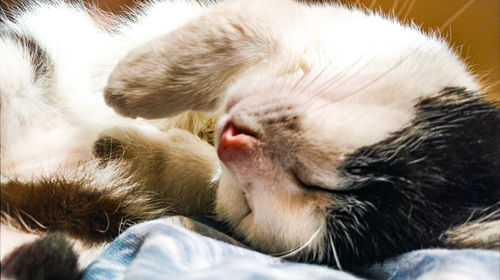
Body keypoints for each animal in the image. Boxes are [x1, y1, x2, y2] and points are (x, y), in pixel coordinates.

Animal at [0, 0, 500, 276]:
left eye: (252, 207)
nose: (234, 143)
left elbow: (199, 181)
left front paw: (129, 146)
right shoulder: (328, 27)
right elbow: (239, 30)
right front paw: (130, 82)